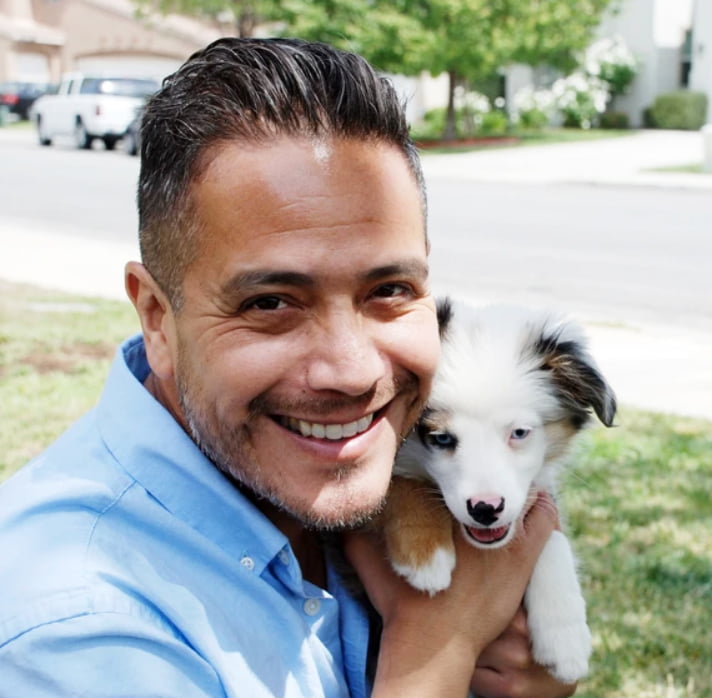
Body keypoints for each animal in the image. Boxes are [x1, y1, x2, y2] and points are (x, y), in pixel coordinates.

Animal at [384, 296, 616, 684]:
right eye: (441, 438)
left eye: (519, 433)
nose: (485, 508)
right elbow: (398, 485)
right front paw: (426, 555)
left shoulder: (540, 496)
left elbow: (554, 539)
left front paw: (565, 636)